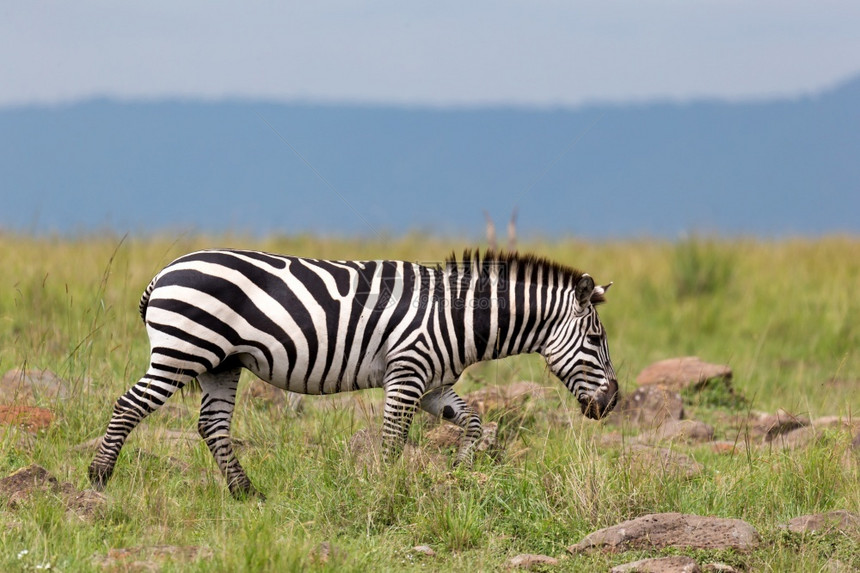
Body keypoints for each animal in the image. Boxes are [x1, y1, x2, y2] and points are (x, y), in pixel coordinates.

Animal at [90, 249, 620, 496]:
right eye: (596, 341)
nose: (613, 401)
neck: (457, 316)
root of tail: (163, 272)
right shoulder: (408, 370)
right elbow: (392, 441)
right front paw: (384, 491)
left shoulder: (433, 383)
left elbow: (472, 422)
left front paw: (462, 470)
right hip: (184, 349)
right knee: (129, 404)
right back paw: (98, 477)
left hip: (221, 363)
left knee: (212, 425)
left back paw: (246, 493)